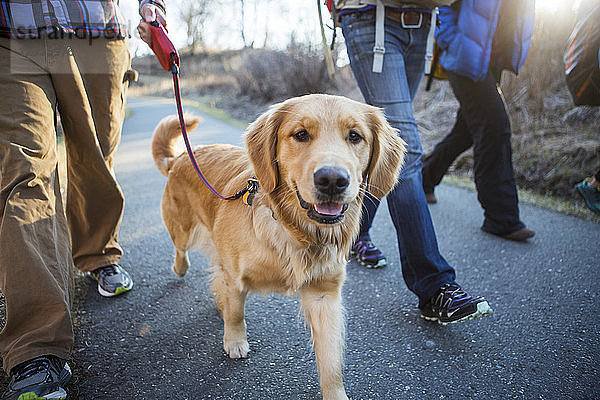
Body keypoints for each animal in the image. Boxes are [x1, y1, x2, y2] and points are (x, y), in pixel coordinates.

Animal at [150, 94, 406, 400]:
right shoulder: (235, 275)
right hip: (182, 230)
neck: (294, 232)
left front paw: (335, 393)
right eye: (301, 134)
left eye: (355, 136)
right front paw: (234, 340)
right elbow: (236, 311)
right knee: (182, 251)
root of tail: (179, 158)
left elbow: (331, 363)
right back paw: (181, 268)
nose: (332, 180)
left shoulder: (325, 295)